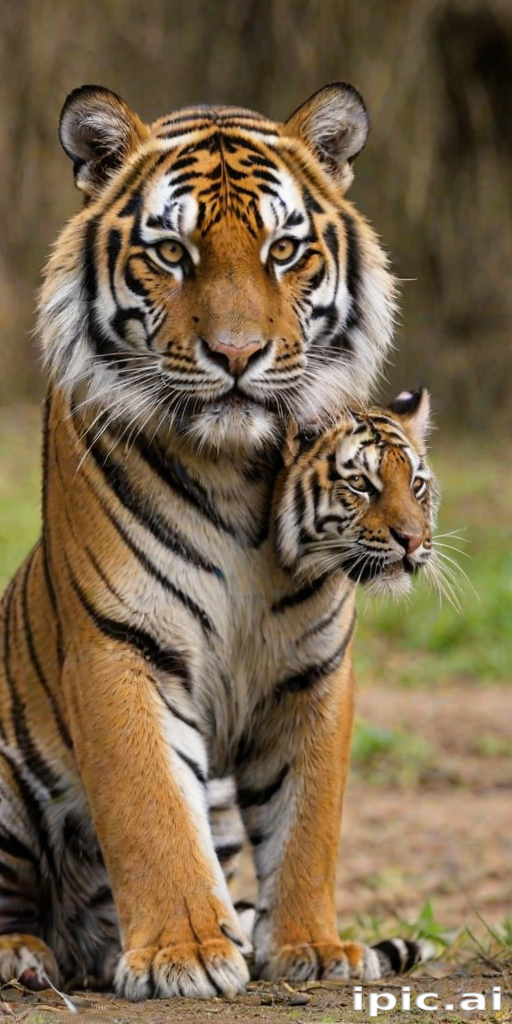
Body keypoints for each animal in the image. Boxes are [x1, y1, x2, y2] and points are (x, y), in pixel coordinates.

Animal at [0, 81, 417, 1000]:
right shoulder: (119, 645)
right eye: (172, 252)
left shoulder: (314, 665)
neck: (235, 470)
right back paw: (23, 953)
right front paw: (185, 952)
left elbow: (307, 822)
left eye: (284, 249)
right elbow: (151, 808)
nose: (236, 355)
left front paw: (311, 946)